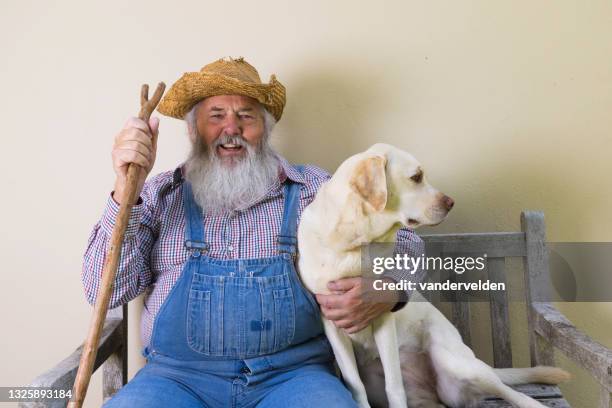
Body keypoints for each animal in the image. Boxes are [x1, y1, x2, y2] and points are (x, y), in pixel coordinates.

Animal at [296, 145, 568, 406]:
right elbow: (355, 386)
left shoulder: (381, 315)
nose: (451, 202)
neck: (354, 242)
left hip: (457, 364)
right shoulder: (332, 326)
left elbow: (394, 387)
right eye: (416, 177)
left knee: (507, 389)